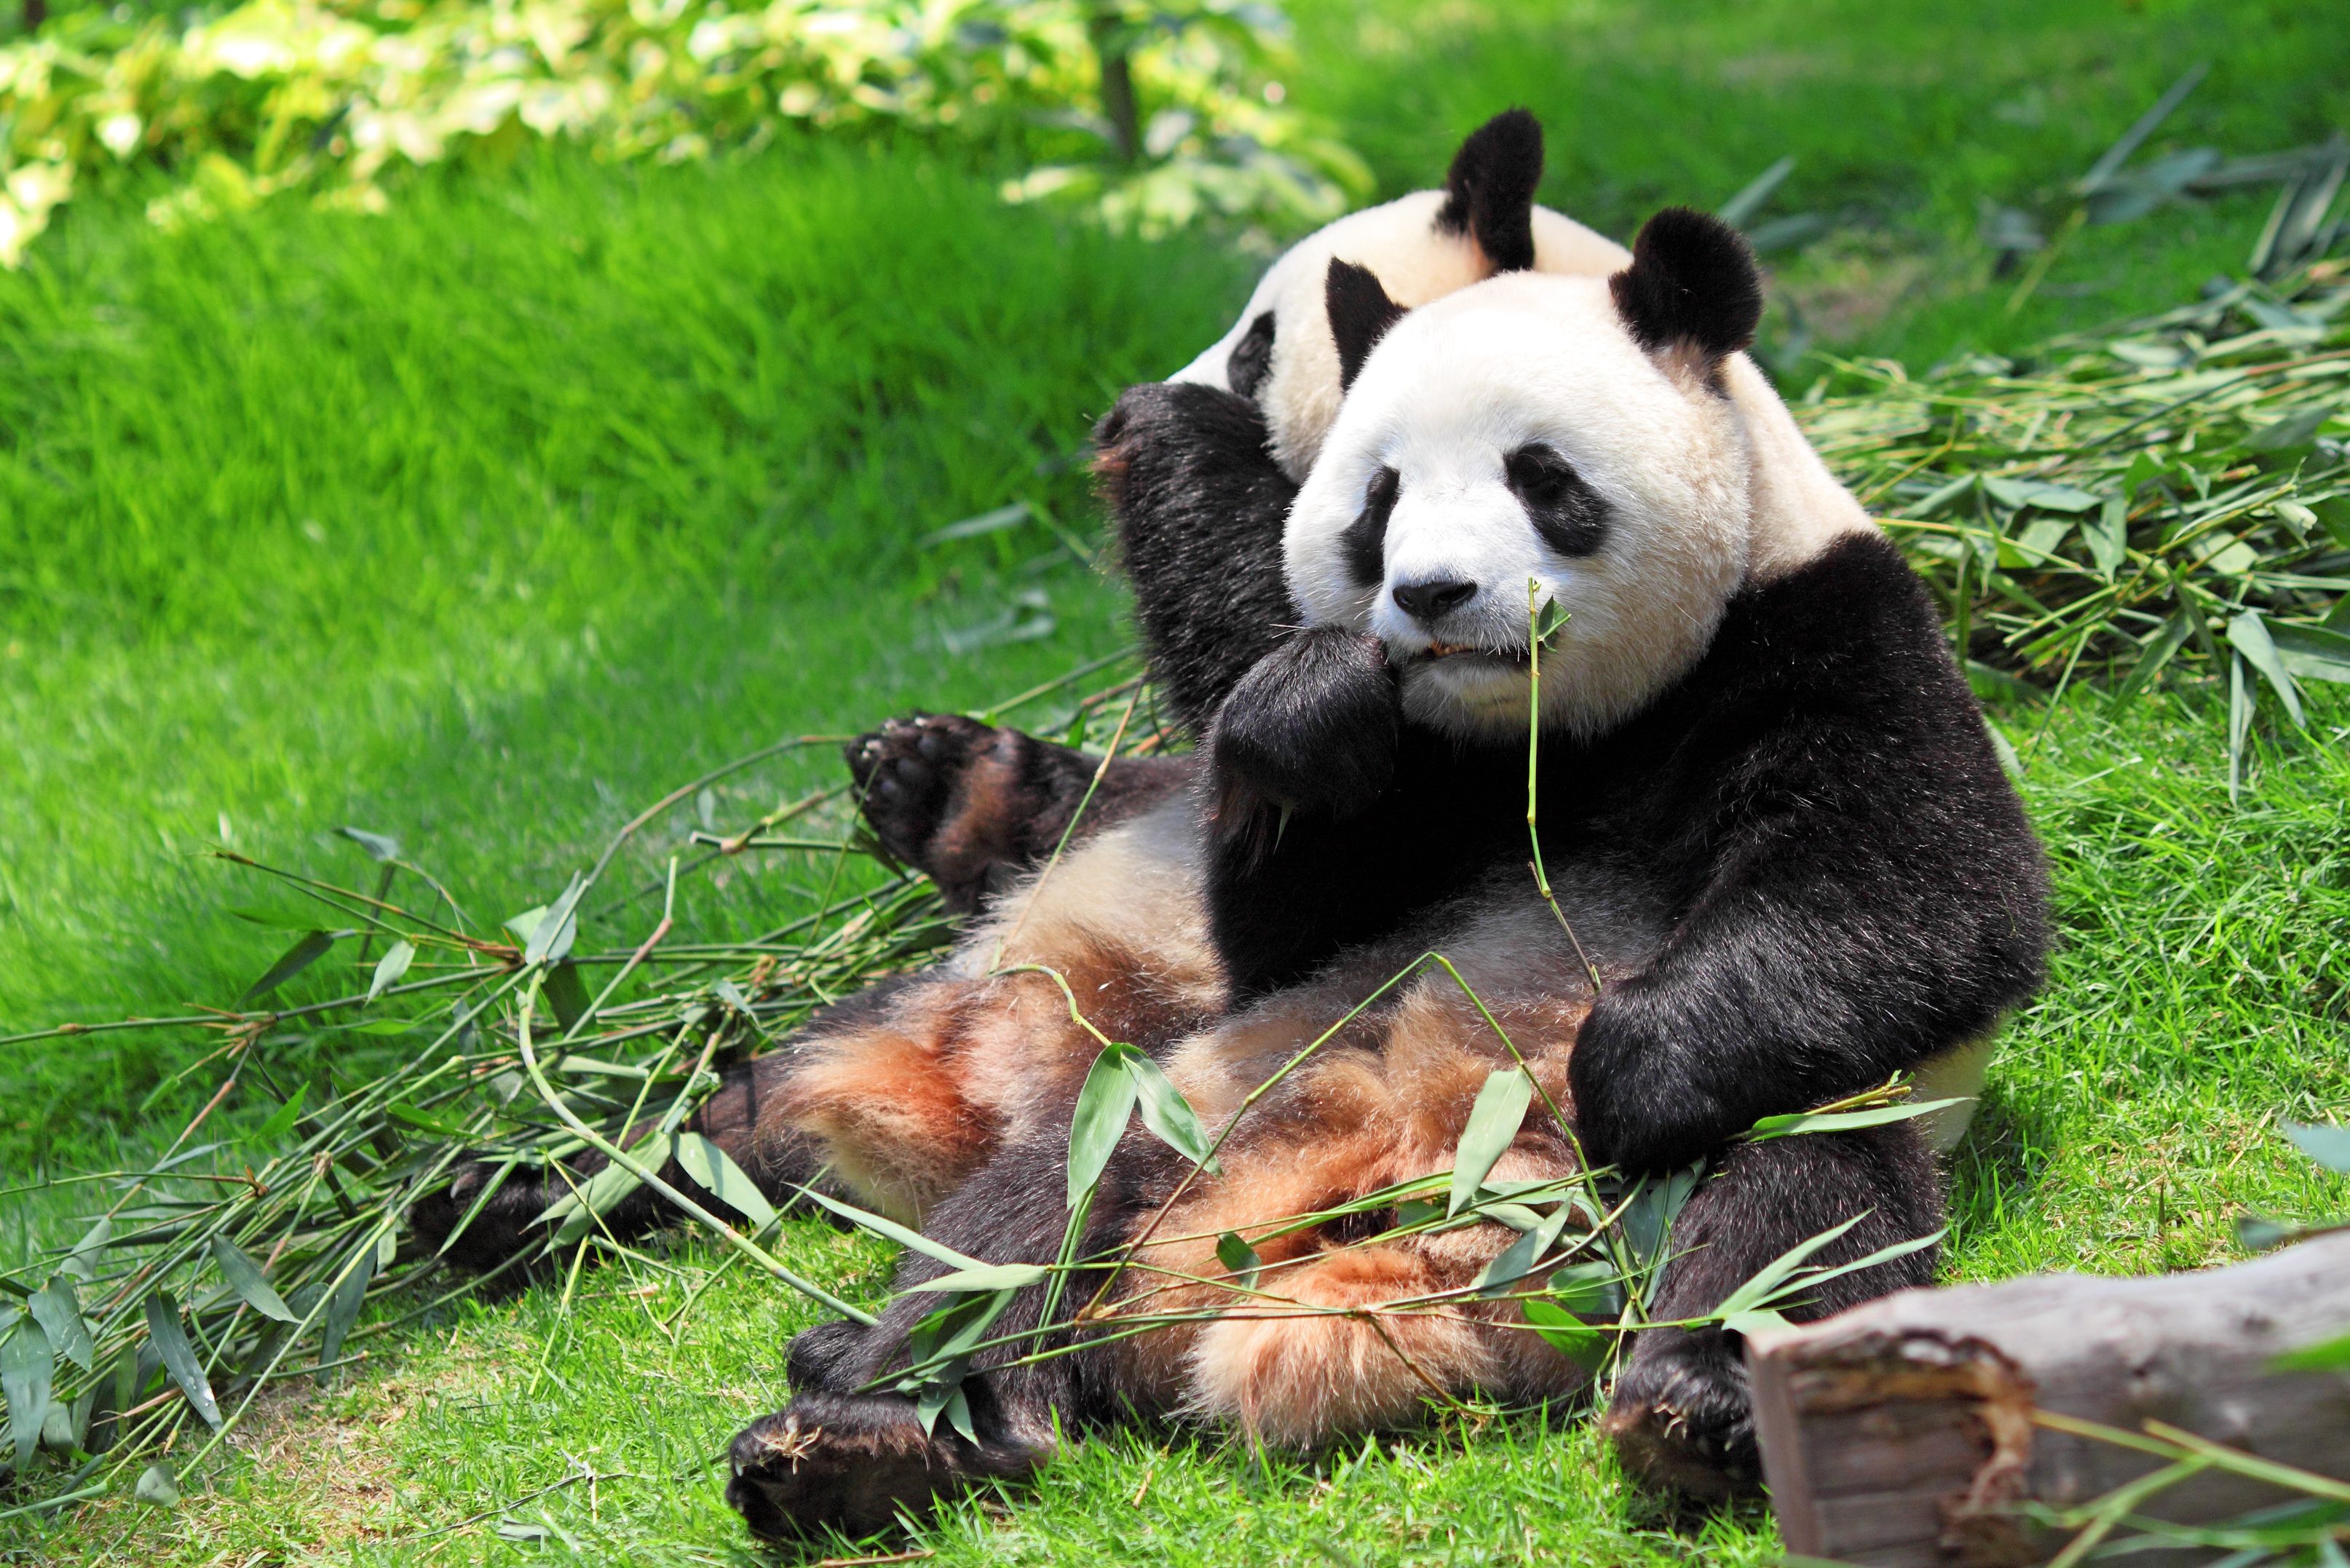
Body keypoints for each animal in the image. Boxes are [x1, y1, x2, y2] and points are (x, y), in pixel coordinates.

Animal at [412, 133, 2049, 1540]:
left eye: (1541, 479)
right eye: (1379, 504)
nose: (1431, 597)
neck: (1552, 734)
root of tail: (1369, 1258)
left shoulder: (1816, 630)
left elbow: (1919, 902)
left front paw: (1629, 1060)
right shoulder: (1409, 800)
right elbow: (1284, 877)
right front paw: (1300, 704)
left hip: (1740, 1152)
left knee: (1801, 1206)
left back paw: (1698, 1404)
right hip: (1174, 1103)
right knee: (966, 1220)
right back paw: (825, 1397)